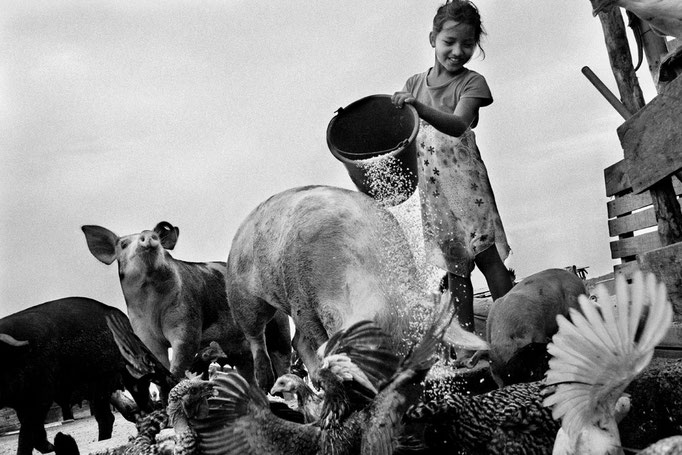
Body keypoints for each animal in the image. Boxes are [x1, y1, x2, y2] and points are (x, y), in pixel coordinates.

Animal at [82, 223, 290, 382]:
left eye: (158, 238)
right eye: (124, 245)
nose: (147, 234)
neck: (152, 304)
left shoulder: (187, 320)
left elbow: (182, 352)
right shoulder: (144, 332)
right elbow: (159, 360)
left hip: (279, 327)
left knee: (282, 358)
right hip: (234, 345)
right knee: (246, 370)